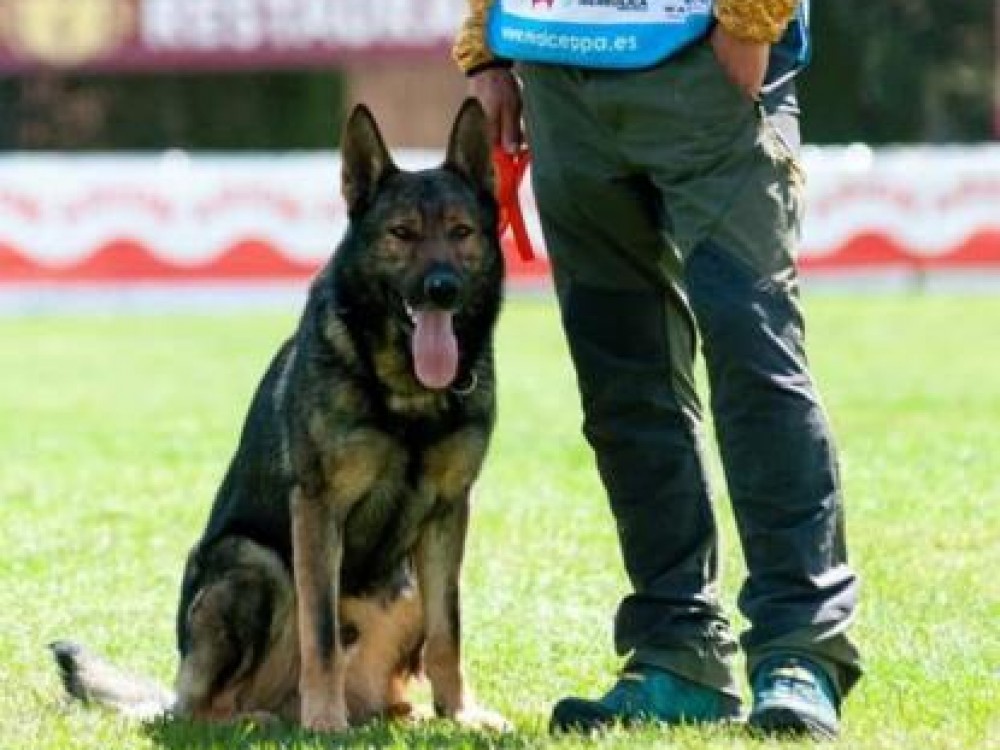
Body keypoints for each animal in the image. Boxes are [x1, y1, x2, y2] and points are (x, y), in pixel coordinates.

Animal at [50, 99, 508, 733]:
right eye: (402, 234)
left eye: (461, 232)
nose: (442, 288)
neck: (406, 393)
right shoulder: (317, 508)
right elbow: (321, 634)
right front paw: (325, 724)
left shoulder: (448, 511)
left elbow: (449, 632)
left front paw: (460, 713)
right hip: (253, 564)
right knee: (200, 709)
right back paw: (266, 721)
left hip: (407, 578)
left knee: (392, 691)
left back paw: (401, 715)